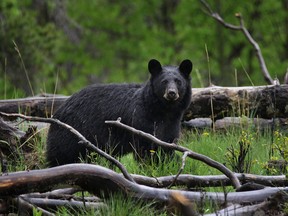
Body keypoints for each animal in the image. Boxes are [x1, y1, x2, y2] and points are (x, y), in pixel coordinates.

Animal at [46, 59, 192, 167]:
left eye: (178, 81)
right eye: (164, 82)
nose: (171, 93)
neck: (163, 110)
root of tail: (59, 110)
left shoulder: (172, 124)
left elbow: (166, 146)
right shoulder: (141, 121)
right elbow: (145, 148)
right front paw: (149, 166)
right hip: (71, 133)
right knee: (61, 154)